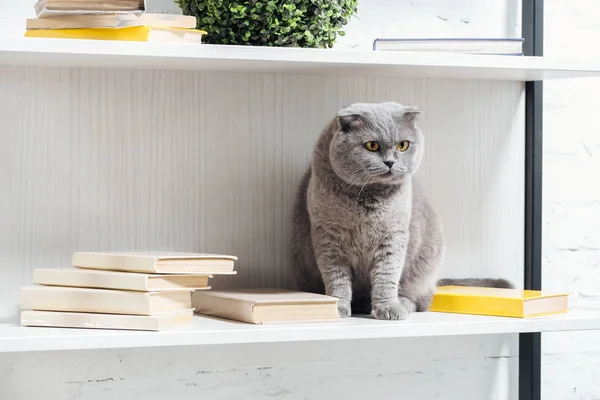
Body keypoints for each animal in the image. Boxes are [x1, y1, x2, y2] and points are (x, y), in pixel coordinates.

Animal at [290, 101, 510, 320]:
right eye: (372, 145)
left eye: (402, 145)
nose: (390, 162)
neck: (368, 197)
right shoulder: (328, 237)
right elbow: (337, 279)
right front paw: (338, 307)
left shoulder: (393, 235)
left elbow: (387, 276)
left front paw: (388, 307)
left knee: (420, 300)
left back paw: (400, 303)